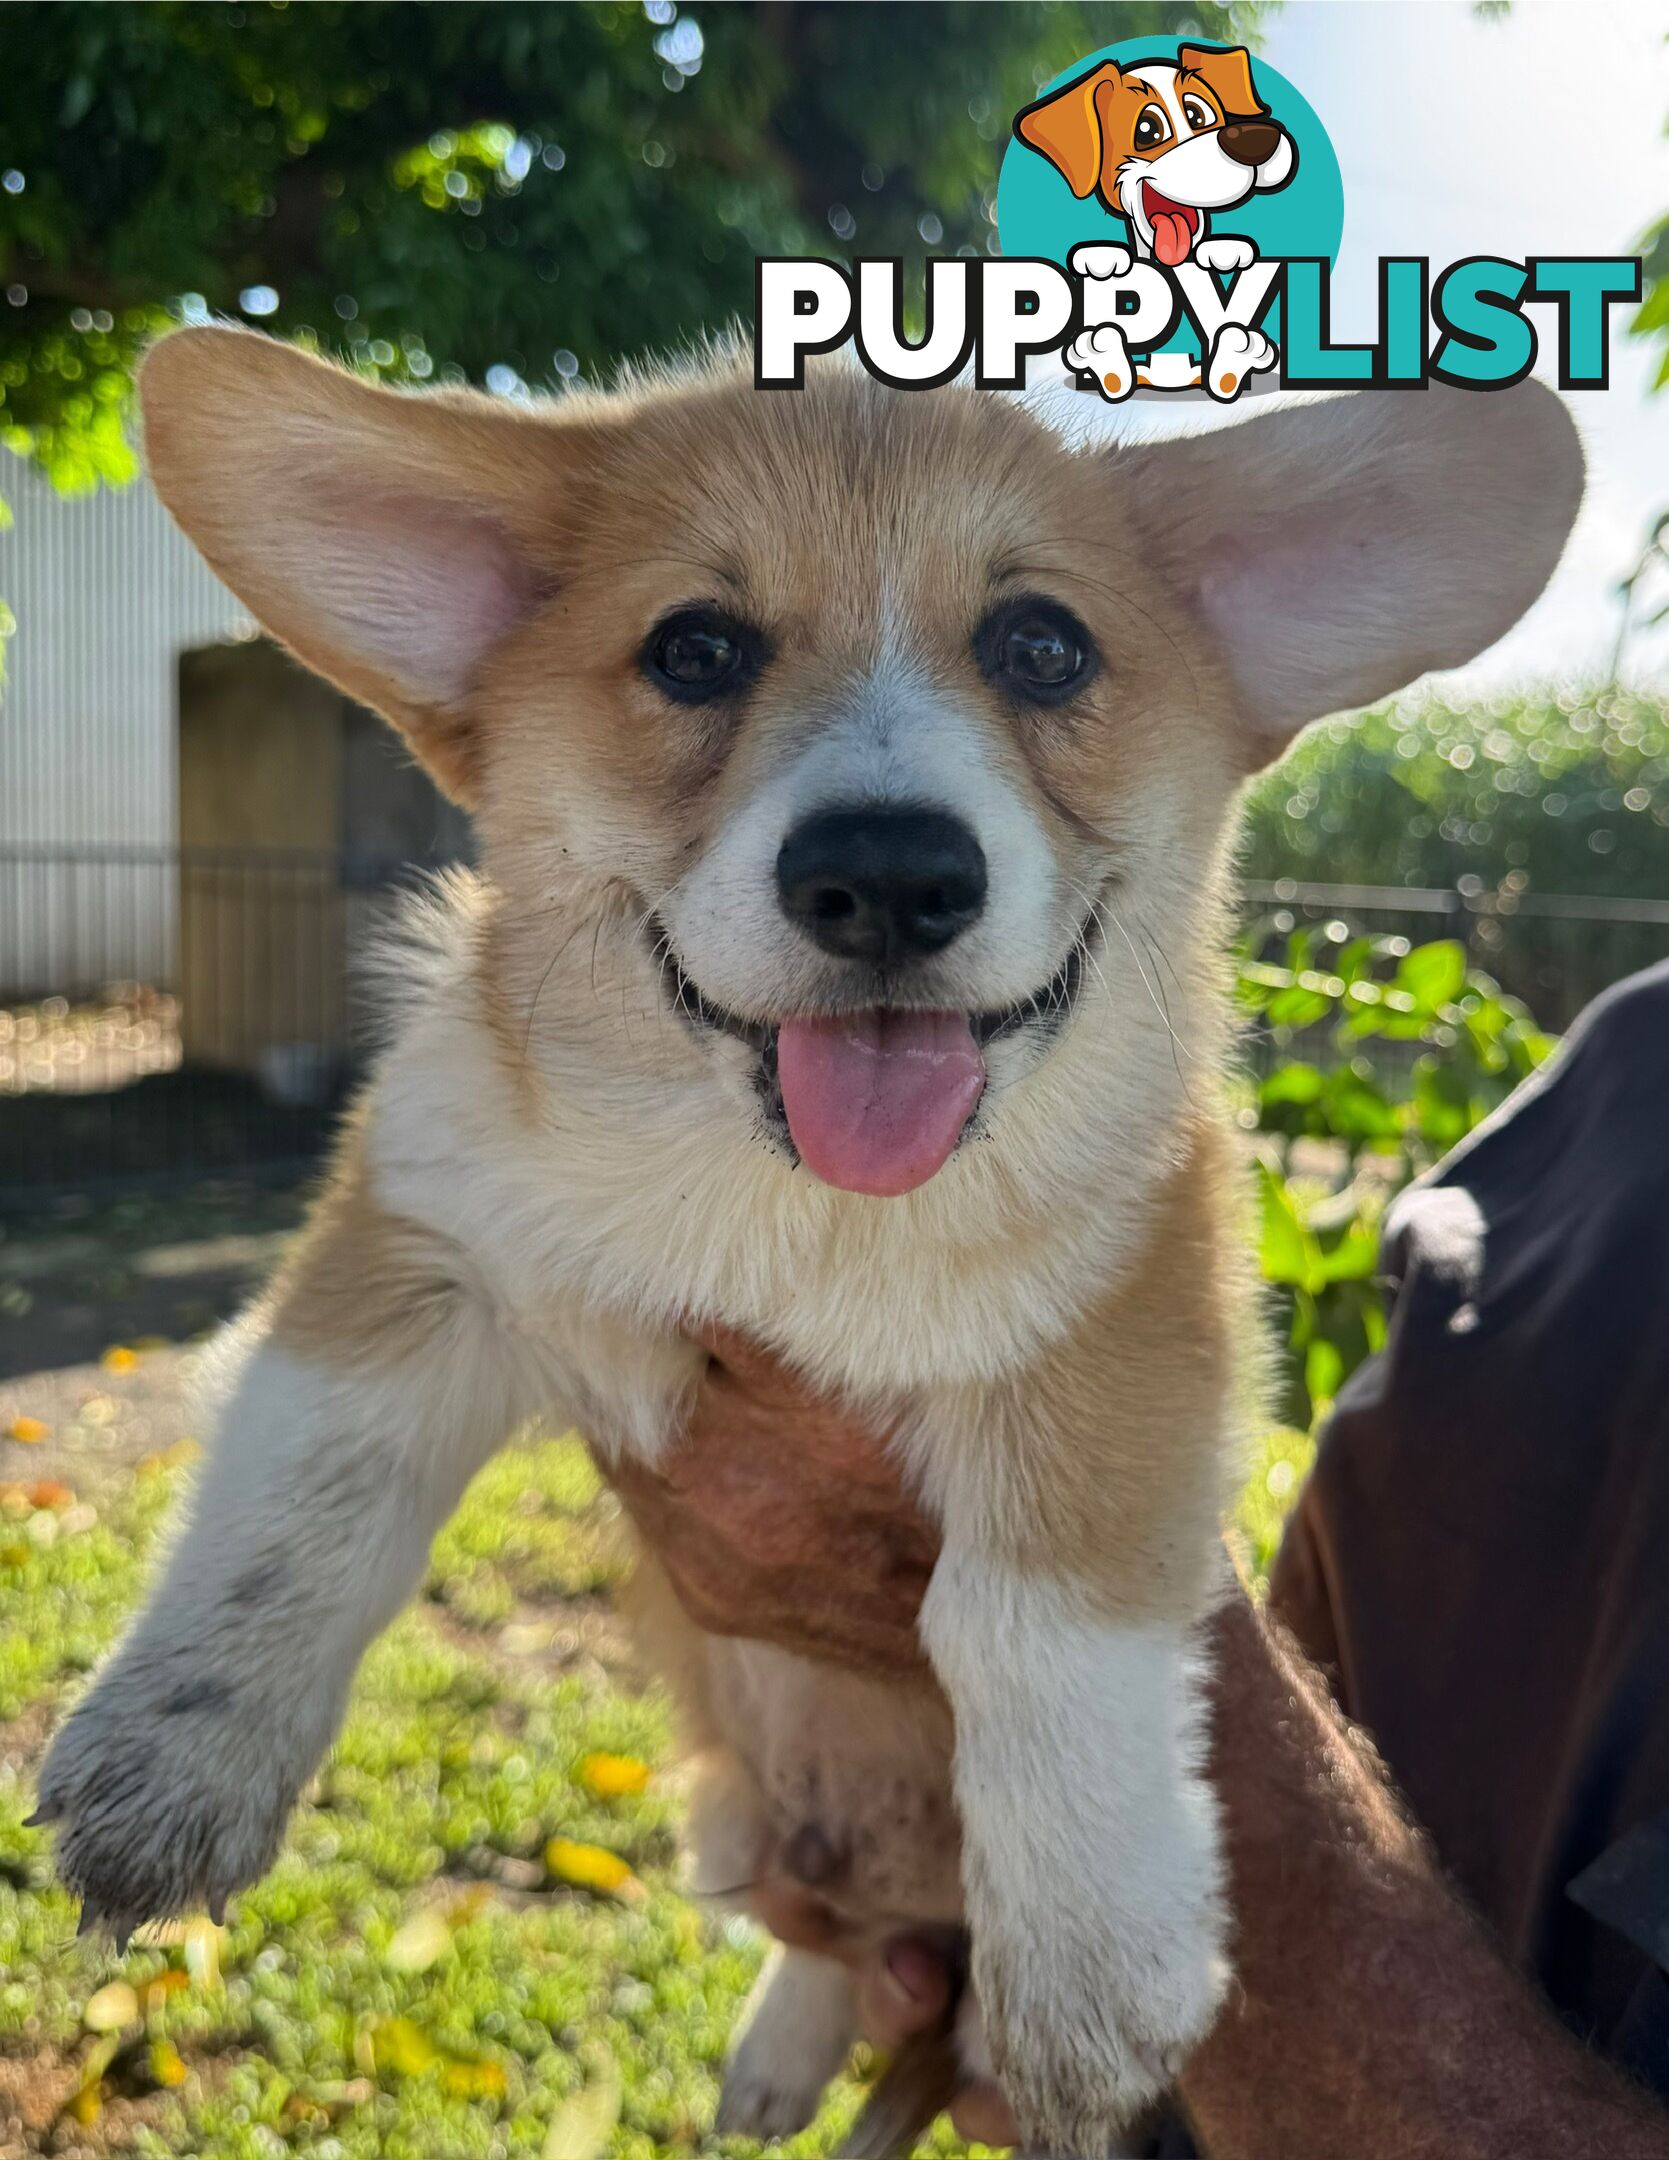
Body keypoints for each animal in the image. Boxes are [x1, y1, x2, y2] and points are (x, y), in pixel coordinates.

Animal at [35, 328, 1571, 2151]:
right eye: (693, 652)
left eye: (1041, 644)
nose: (889, 878)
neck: (798, 1207)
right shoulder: (421, 1229)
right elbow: (306, 1495)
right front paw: (171, 1764)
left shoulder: (1130, 1317)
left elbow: (1028, 1612)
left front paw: (1095, 1964)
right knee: (829, 1939)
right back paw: (776, 2052)